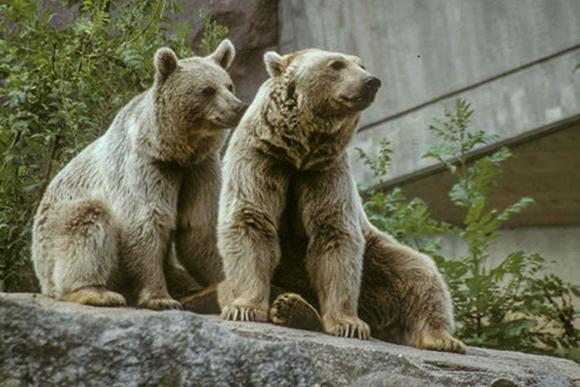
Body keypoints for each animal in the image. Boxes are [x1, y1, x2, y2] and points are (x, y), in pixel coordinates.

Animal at [31, 39, 246, 310]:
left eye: (229, 85)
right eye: (207, 90)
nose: (239, 107)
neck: (175, 152)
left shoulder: (199, 170)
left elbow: (199, 226)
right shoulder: (145, 167)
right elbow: (145, 222)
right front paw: (160, 298)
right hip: (52, 235)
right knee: (88, 222)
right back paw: (97, 292)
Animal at [211, 48, 464, 354]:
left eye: (361, 64)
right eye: (336, 64)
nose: (371, 81)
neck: (299, 150)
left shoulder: (326, 173)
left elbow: (334, 235)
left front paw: (348, 324)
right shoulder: (261, 160)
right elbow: (251, 220)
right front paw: (245, 308)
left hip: (378, 259)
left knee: (419, 274)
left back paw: (441, 338)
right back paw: (291, 307)